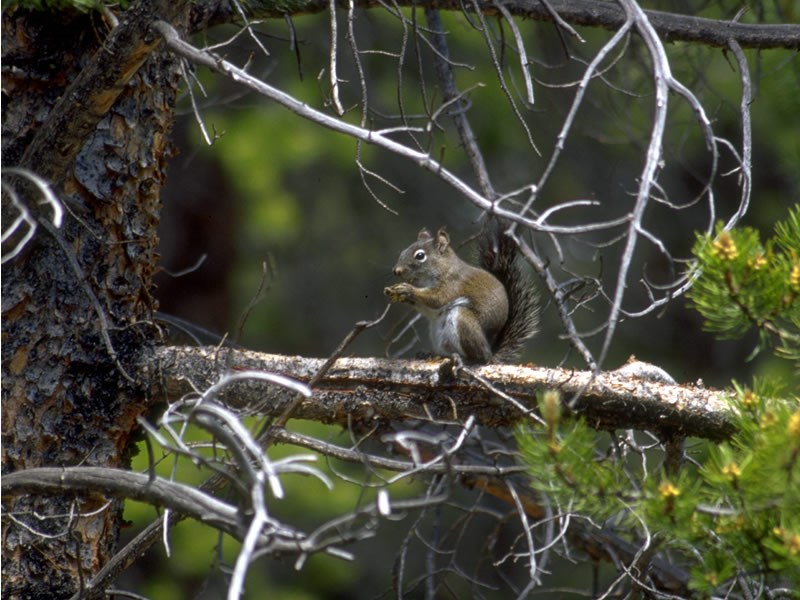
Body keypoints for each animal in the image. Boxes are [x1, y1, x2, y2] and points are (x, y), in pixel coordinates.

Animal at [382, 225, 536, 364]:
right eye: (403, 251)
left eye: (420, 256)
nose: (396, 271)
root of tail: (491, 354)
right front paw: (398, 293)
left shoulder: (453, 284)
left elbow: (437, 299)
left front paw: (408, 290)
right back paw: (431, 355)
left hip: (464, 320)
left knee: (480, 356)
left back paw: (467, 359)